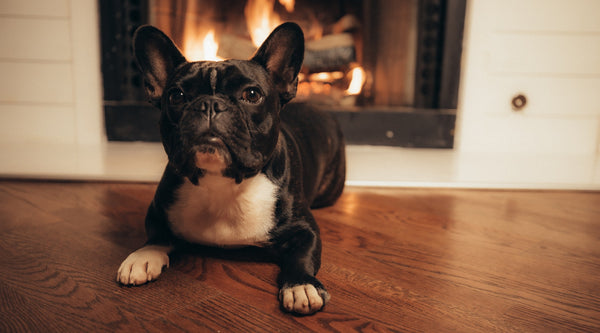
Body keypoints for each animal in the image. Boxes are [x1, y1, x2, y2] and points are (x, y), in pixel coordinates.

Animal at [115, 22, 344, 314]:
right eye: (176, 96)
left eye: (252, 95)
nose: (210, 104)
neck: (222, 182)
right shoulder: (158, 209)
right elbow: (156, 234)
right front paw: (143, 256)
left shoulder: (305, 229)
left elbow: (302, 256)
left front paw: (300, 285)